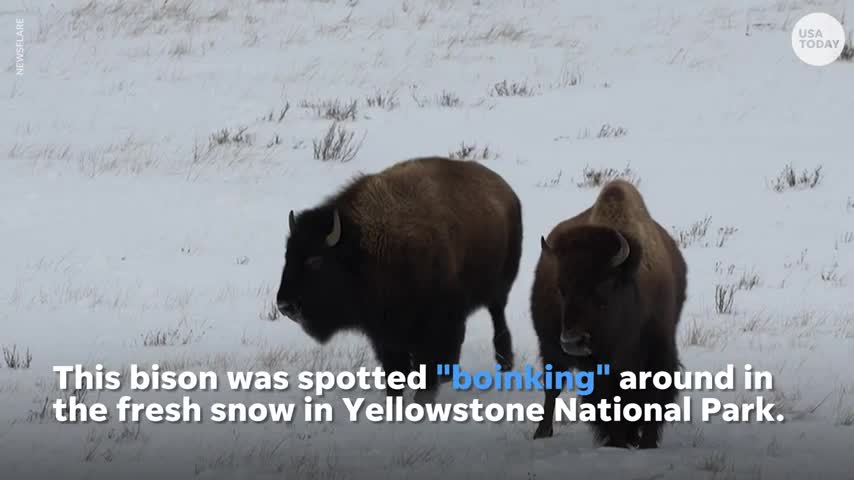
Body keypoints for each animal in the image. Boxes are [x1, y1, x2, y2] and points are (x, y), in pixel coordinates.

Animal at [278, 157, 524, 402]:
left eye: (315, 260)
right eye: (287, 255)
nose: (285, 305)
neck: (364, 248)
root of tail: (507, 191)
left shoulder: (432, 325)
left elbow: (427, 369)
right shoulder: (384, 332)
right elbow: (395, 373)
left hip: (499, 288)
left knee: (497, 317)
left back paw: (504, 363)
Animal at [536, 178, 688, 448]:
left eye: (603, 284)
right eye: (560, 288)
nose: (572, 341)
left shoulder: (658, 352)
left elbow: (654, 399)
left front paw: (646, 443)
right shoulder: (601, 369)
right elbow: (609, 405)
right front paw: (617, 442)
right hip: (550, 348)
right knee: (552, 389)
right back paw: (542, 432)